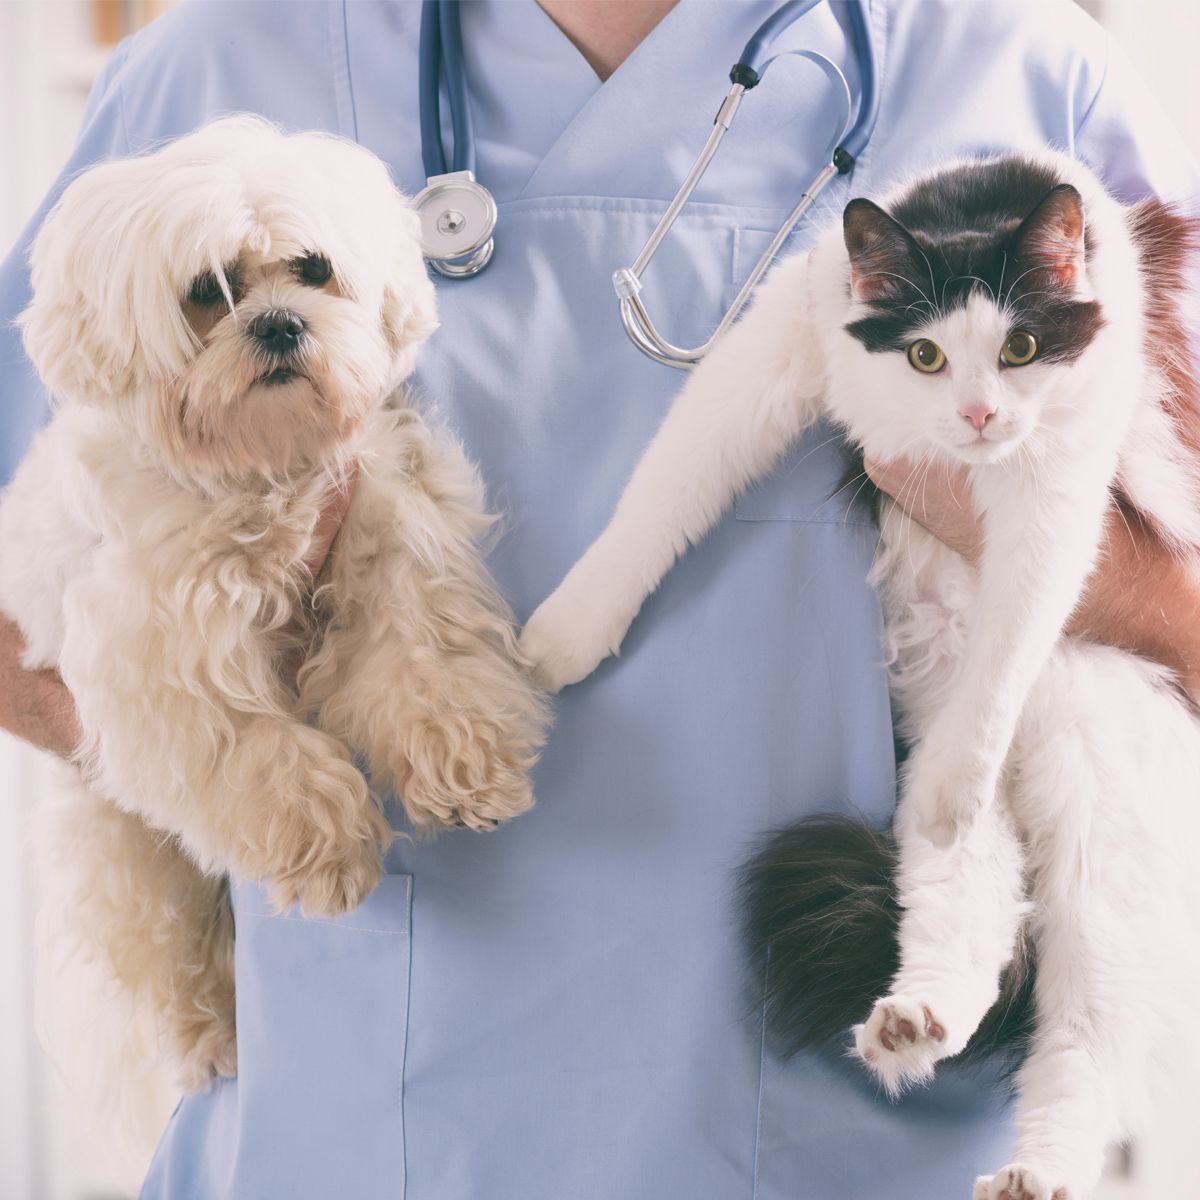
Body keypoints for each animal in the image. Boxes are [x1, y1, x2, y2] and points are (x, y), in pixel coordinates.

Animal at [2, 117, 547, 1094]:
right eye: (204, 292)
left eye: (312, 267)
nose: (280, 322)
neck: (262, 471)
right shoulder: (170, 665)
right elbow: (265, 759)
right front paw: (329, 852)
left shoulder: (391, 544)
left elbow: (427, 669)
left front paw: (465, 769)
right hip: (124, 852)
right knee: (164, 948)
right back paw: (207, 1033)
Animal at [520, 152, 1200, 1200]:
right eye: (925, 356)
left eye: (1021, 347)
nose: (978, 415)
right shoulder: (780, 345)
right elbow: (662, 492)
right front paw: (569, 631)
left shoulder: (1057, 484)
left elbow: (1015, 627)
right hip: (956, 807)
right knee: (971, 908)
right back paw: (914, 1025)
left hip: (1110, 850)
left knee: (1087, 1042)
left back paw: (1035, 1169)